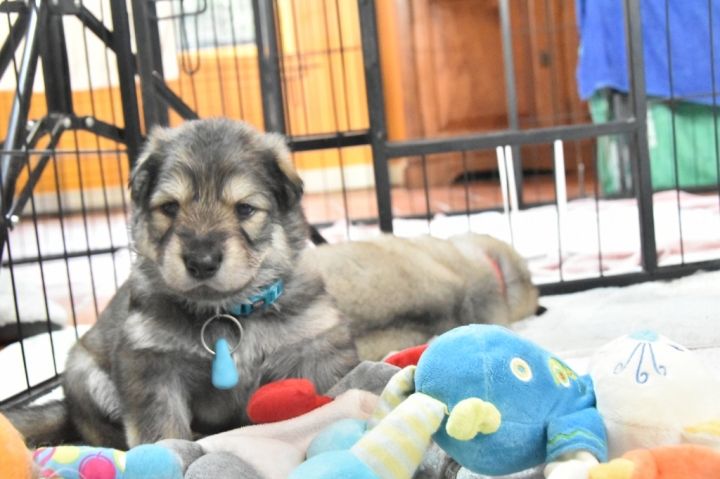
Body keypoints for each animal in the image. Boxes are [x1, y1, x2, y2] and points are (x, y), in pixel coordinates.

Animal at [5, 119, 358, 448]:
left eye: (245, 209)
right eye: (170, 207)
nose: (201, 261)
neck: (226, 312)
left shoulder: (318, 347)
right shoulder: (150, 366)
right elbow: (162, 431)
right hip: (86, 376)